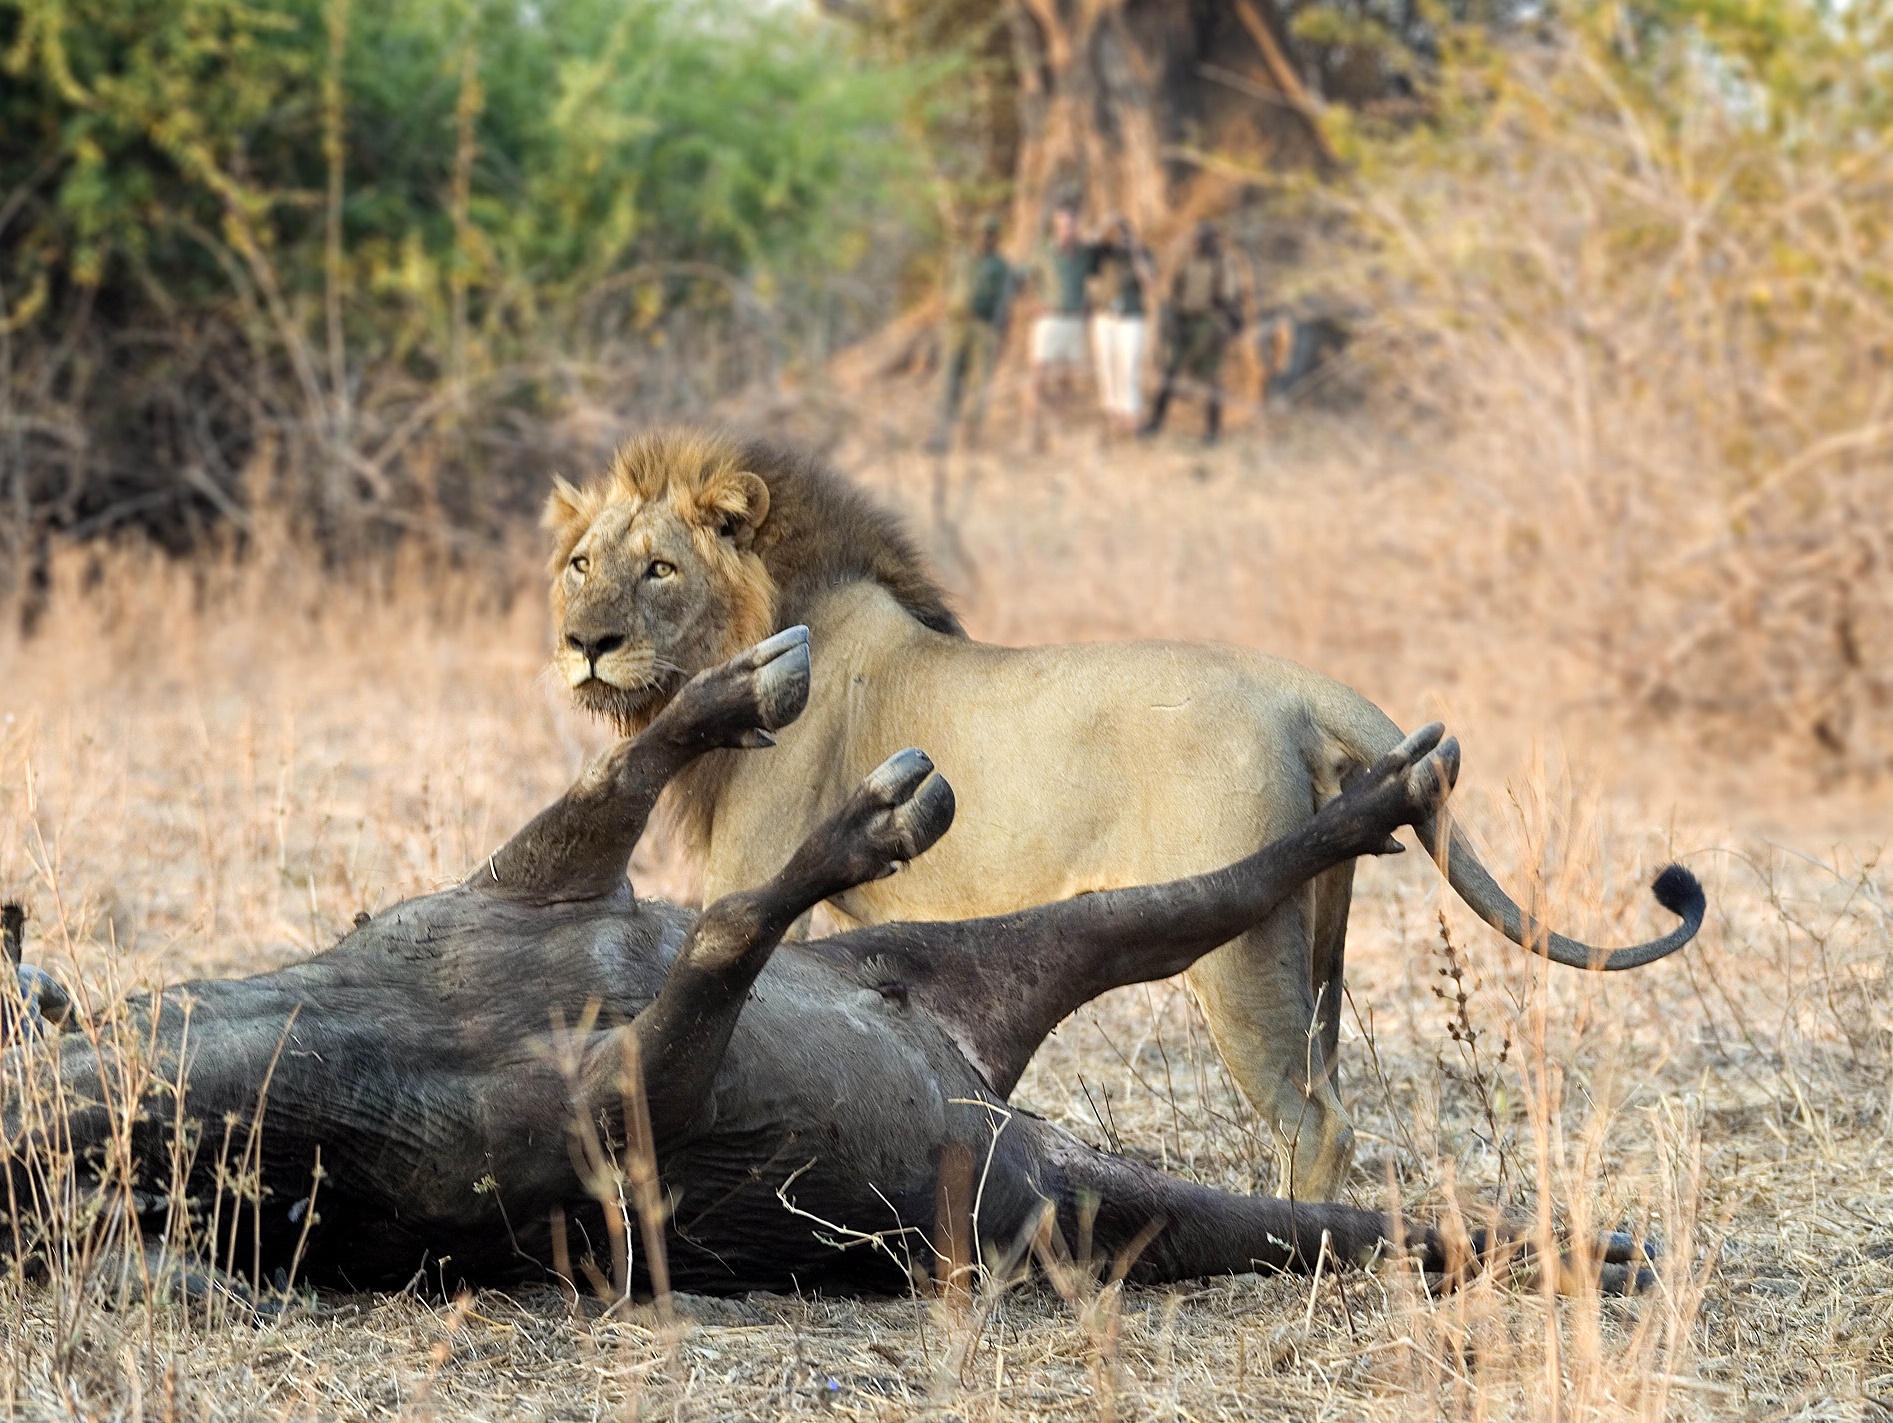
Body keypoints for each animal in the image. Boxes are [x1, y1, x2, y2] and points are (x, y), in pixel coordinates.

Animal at [545, 431, 1703, 1203]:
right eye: (581, 563)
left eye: (659, 569)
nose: (585, 644)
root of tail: (1299, 686)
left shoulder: (752, 863)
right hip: (1321, 927)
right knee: (1330, 1084)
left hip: (1238, 945)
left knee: (1318, 1119)